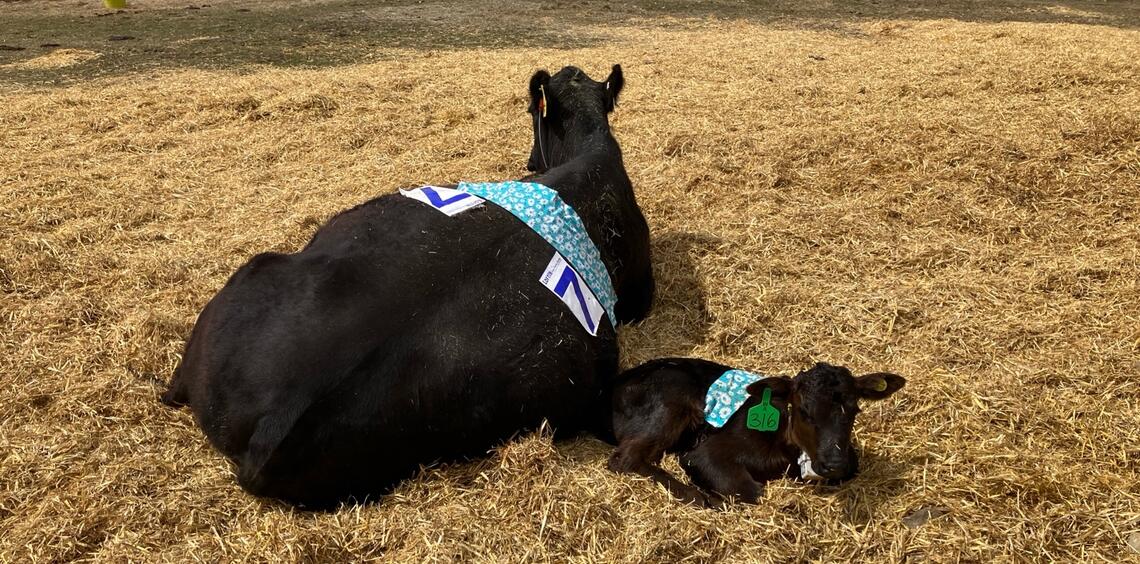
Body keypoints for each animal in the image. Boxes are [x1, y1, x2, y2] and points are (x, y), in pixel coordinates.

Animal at [606, 358, 905, 506]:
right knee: (625, 459)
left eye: (855, 410)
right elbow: (750, 491)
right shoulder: (704, 453)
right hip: (669, 400)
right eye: (804, 411)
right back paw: (697, 496)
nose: (833, 464)